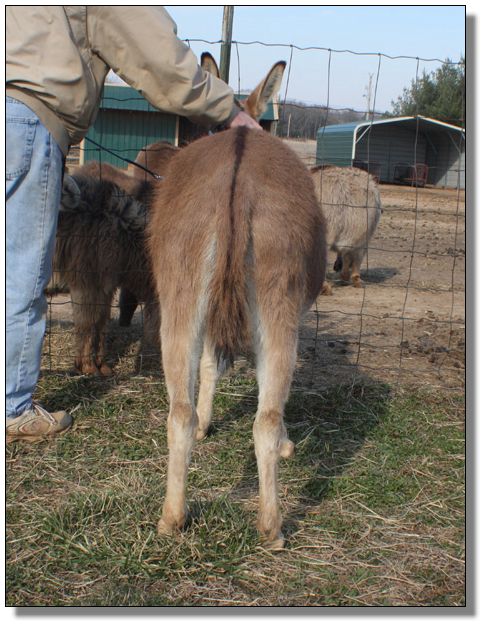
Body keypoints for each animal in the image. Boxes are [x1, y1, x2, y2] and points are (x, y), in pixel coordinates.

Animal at [148, 54, 327, 548]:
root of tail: (238, 170)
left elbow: (209, 368)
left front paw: (209, 422)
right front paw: (287, 445)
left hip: (180, 300)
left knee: (179, 414)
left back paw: (172, 517)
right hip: (277, 306)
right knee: (264, 421)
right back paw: (272, 526)